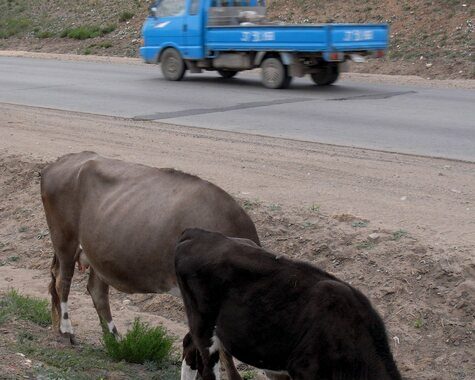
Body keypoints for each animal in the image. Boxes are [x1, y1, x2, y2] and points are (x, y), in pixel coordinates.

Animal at [40, 152, 260, 380]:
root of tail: (64, 160)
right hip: (64, 238)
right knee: (62, 280)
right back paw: (67, 331)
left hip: (98, 253)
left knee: (96, 290)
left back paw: (115, 341)